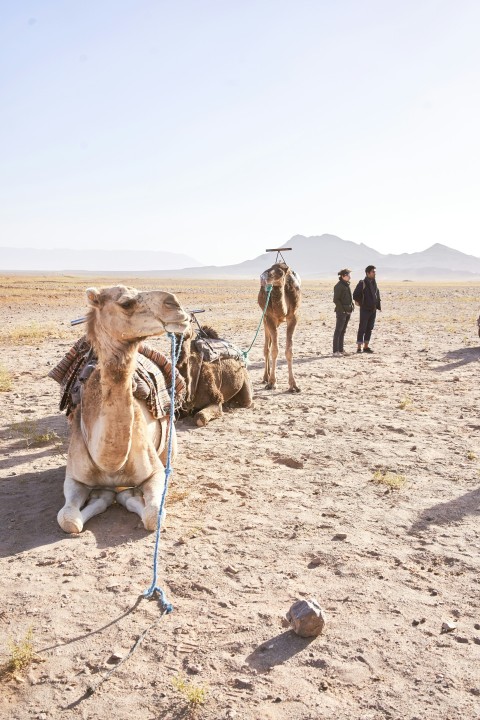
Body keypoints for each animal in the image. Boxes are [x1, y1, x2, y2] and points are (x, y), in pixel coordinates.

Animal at [57, 285, 189, 534]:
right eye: (126, 303)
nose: (175, 305)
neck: (110, 464)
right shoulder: (73, 477)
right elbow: (69, 520)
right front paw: (104, 496)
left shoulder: (156, 472)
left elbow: (154, 515)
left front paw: (128, 495)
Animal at [258, 262, 301, 392]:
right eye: (270, 268)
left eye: (281, 271)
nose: (263, 277)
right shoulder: (269, 317)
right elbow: (274, 350)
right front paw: (272, 382)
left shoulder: (293, 317)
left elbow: (289, 351)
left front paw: (293, 385)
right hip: (265, 318)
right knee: (267, 347)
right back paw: (265, 377)